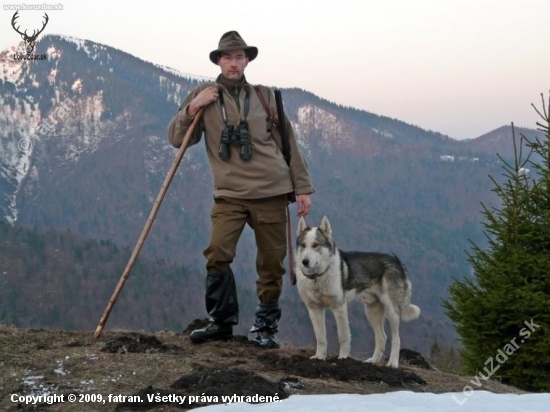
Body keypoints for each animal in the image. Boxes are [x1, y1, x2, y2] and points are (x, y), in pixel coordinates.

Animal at [298, 216, 422, 366]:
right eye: (303, 245)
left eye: (316, 245)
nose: (305, 261)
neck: (318, 276)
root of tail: (396, 260)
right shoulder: (314, 309)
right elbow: (321, 338)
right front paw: (319, 358)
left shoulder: (339, 308)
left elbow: (343, 337)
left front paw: (343, 358)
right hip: (372, 312)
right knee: (382, 337)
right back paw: (373, 360)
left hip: (391, 312)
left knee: (396, 339)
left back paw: (392, 363)